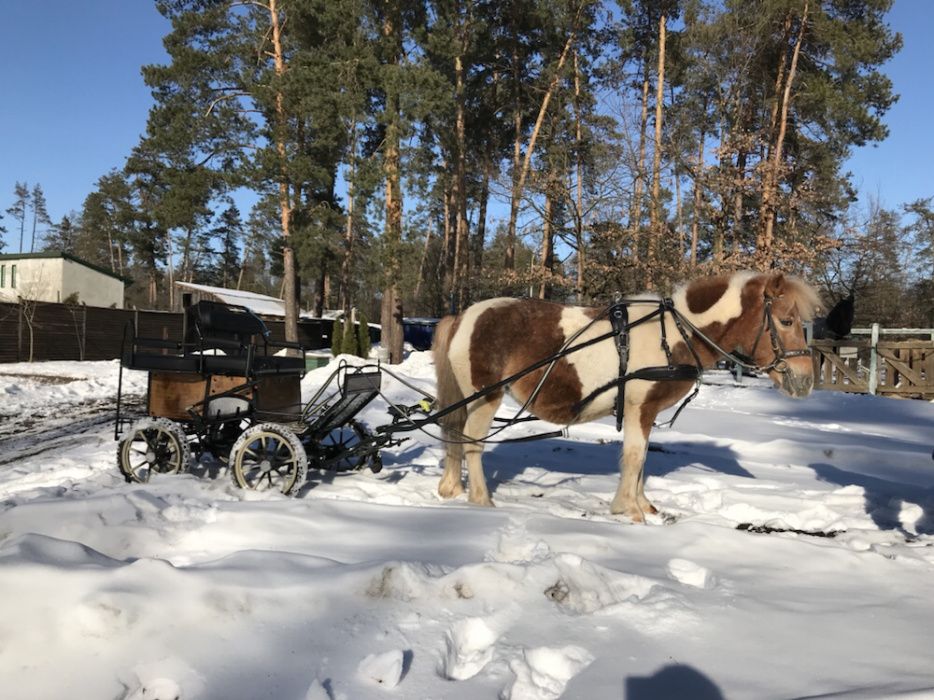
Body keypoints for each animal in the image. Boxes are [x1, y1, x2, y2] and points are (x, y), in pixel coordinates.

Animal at [432, 270, 820, 524]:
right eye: (786, 321)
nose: (804, 381)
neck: (675, 334)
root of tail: (463, 315)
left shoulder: (646, 413)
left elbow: (643, 459)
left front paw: (642, 504)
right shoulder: (639, 408)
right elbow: (634, 458)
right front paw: (630, 511)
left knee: (455, 436)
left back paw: (452, 488)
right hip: (485, 398)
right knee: (471, 444)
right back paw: (481, 500)